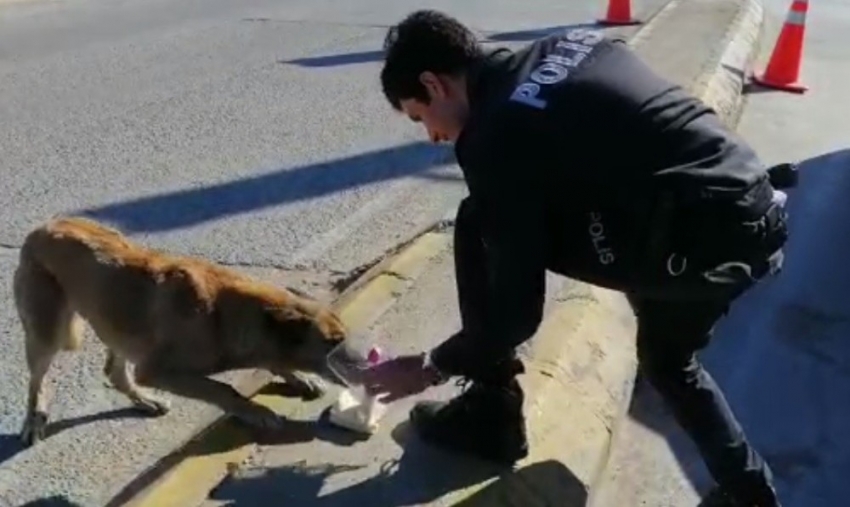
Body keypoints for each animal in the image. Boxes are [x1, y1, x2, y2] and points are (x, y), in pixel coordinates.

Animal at [13, 216, 346, 446]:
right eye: (333, 344)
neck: (222, 313)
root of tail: (45, 225)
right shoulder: (157, 371)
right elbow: (222, 388)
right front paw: (256, 411)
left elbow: (272, 362)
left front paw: (298, 377)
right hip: (48, 332)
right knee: (37, 381)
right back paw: (34, 420)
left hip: (117, 324)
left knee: (115, 372)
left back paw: (145, 401)